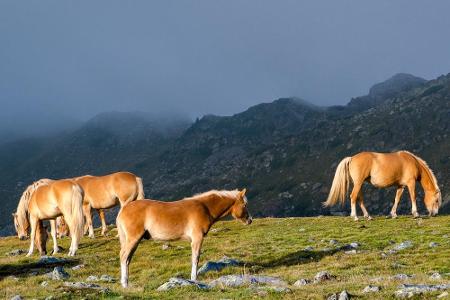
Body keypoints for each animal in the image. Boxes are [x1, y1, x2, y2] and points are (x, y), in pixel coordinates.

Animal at [117, 189, 253, 288]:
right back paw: (124, 284)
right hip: (133, 239)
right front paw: (194, 279)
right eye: (244, 204)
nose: (250, 220)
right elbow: (195, 258)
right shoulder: (197, 238)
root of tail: (124, 209)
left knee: (127, 259)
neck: (205, 208)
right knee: (124, 257)